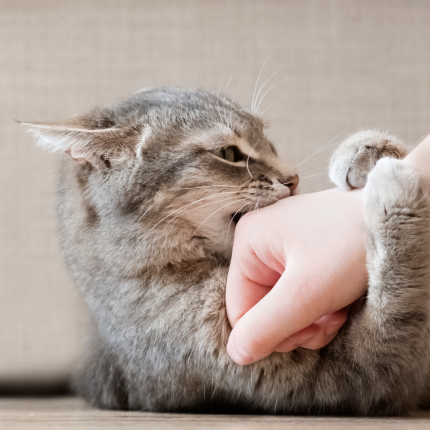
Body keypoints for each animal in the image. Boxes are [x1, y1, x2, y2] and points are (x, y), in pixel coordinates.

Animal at [22, 88, 430, 416]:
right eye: (229, 153)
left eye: (269, 142)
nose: (294, 178)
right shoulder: (347, 380)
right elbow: (399, 305)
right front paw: (398, 196)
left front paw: (371, 150)